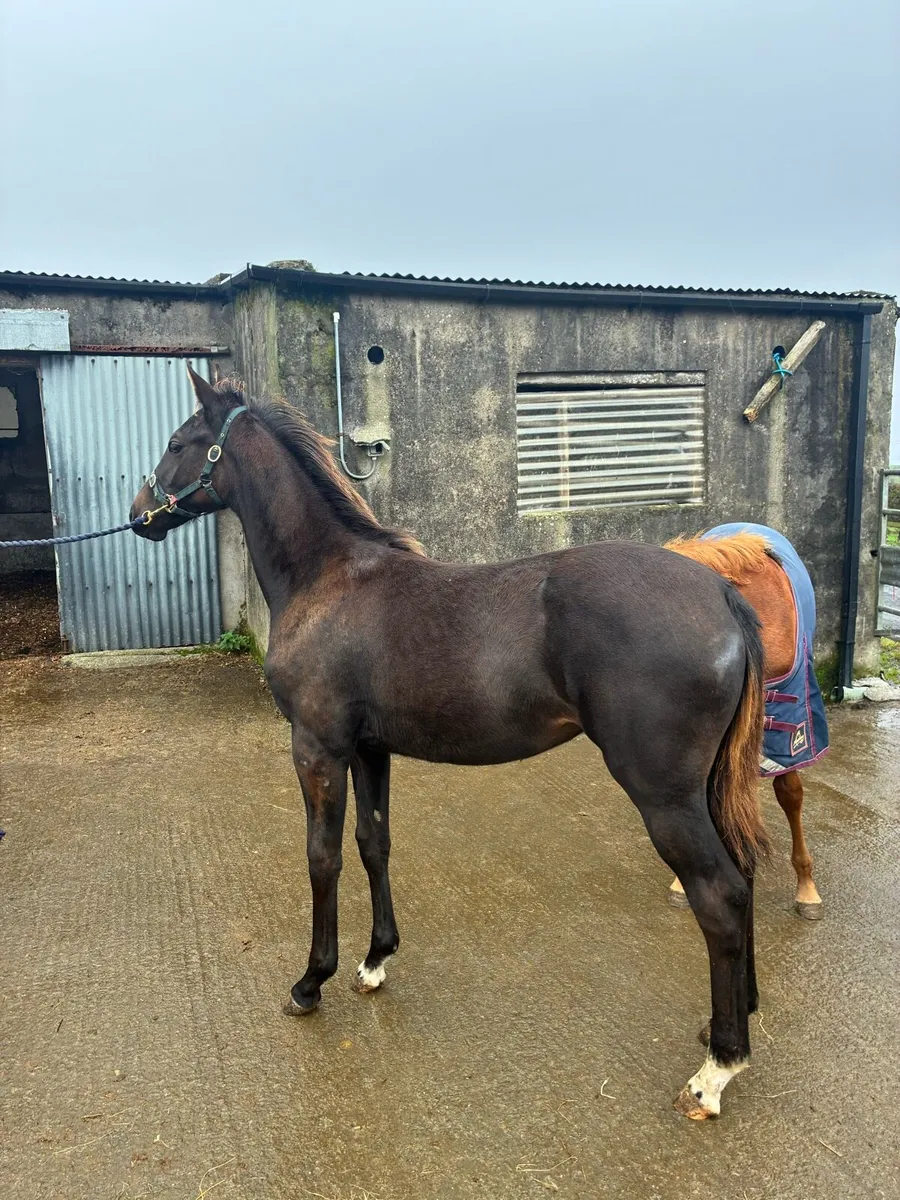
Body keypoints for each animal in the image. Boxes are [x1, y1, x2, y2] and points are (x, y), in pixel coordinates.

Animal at [131, 369, 770, 1120]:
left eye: (179, 442)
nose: (140, 513)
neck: (329, 578)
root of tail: (721, 593)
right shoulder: (369, 749)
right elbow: (372, 843)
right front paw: (374, 961)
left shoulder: (318, 748)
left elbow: (322, 857)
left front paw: (311, 981)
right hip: (706, 789)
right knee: (745, 876)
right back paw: (735, 1019)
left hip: (664, 795)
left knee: (720, 896)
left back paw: (717, 1068)